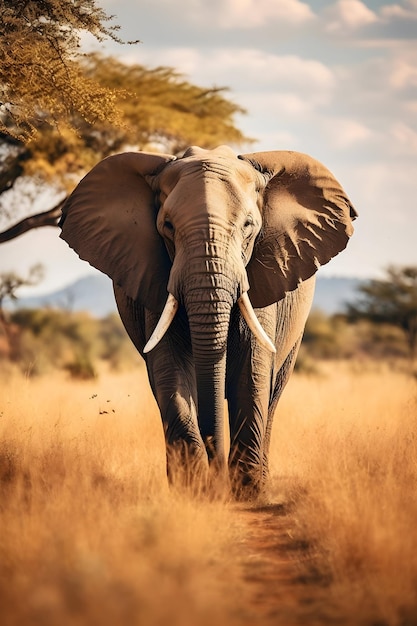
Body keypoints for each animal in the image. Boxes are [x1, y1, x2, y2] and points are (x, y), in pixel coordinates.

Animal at [60, 145, 356, 498]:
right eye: (167, 226)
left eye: (248, 226)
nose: (218, 478)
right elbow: (170, 369)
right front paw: (195, 491)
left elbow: (251, 372)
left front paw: (245, 493)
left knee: (273, 394)